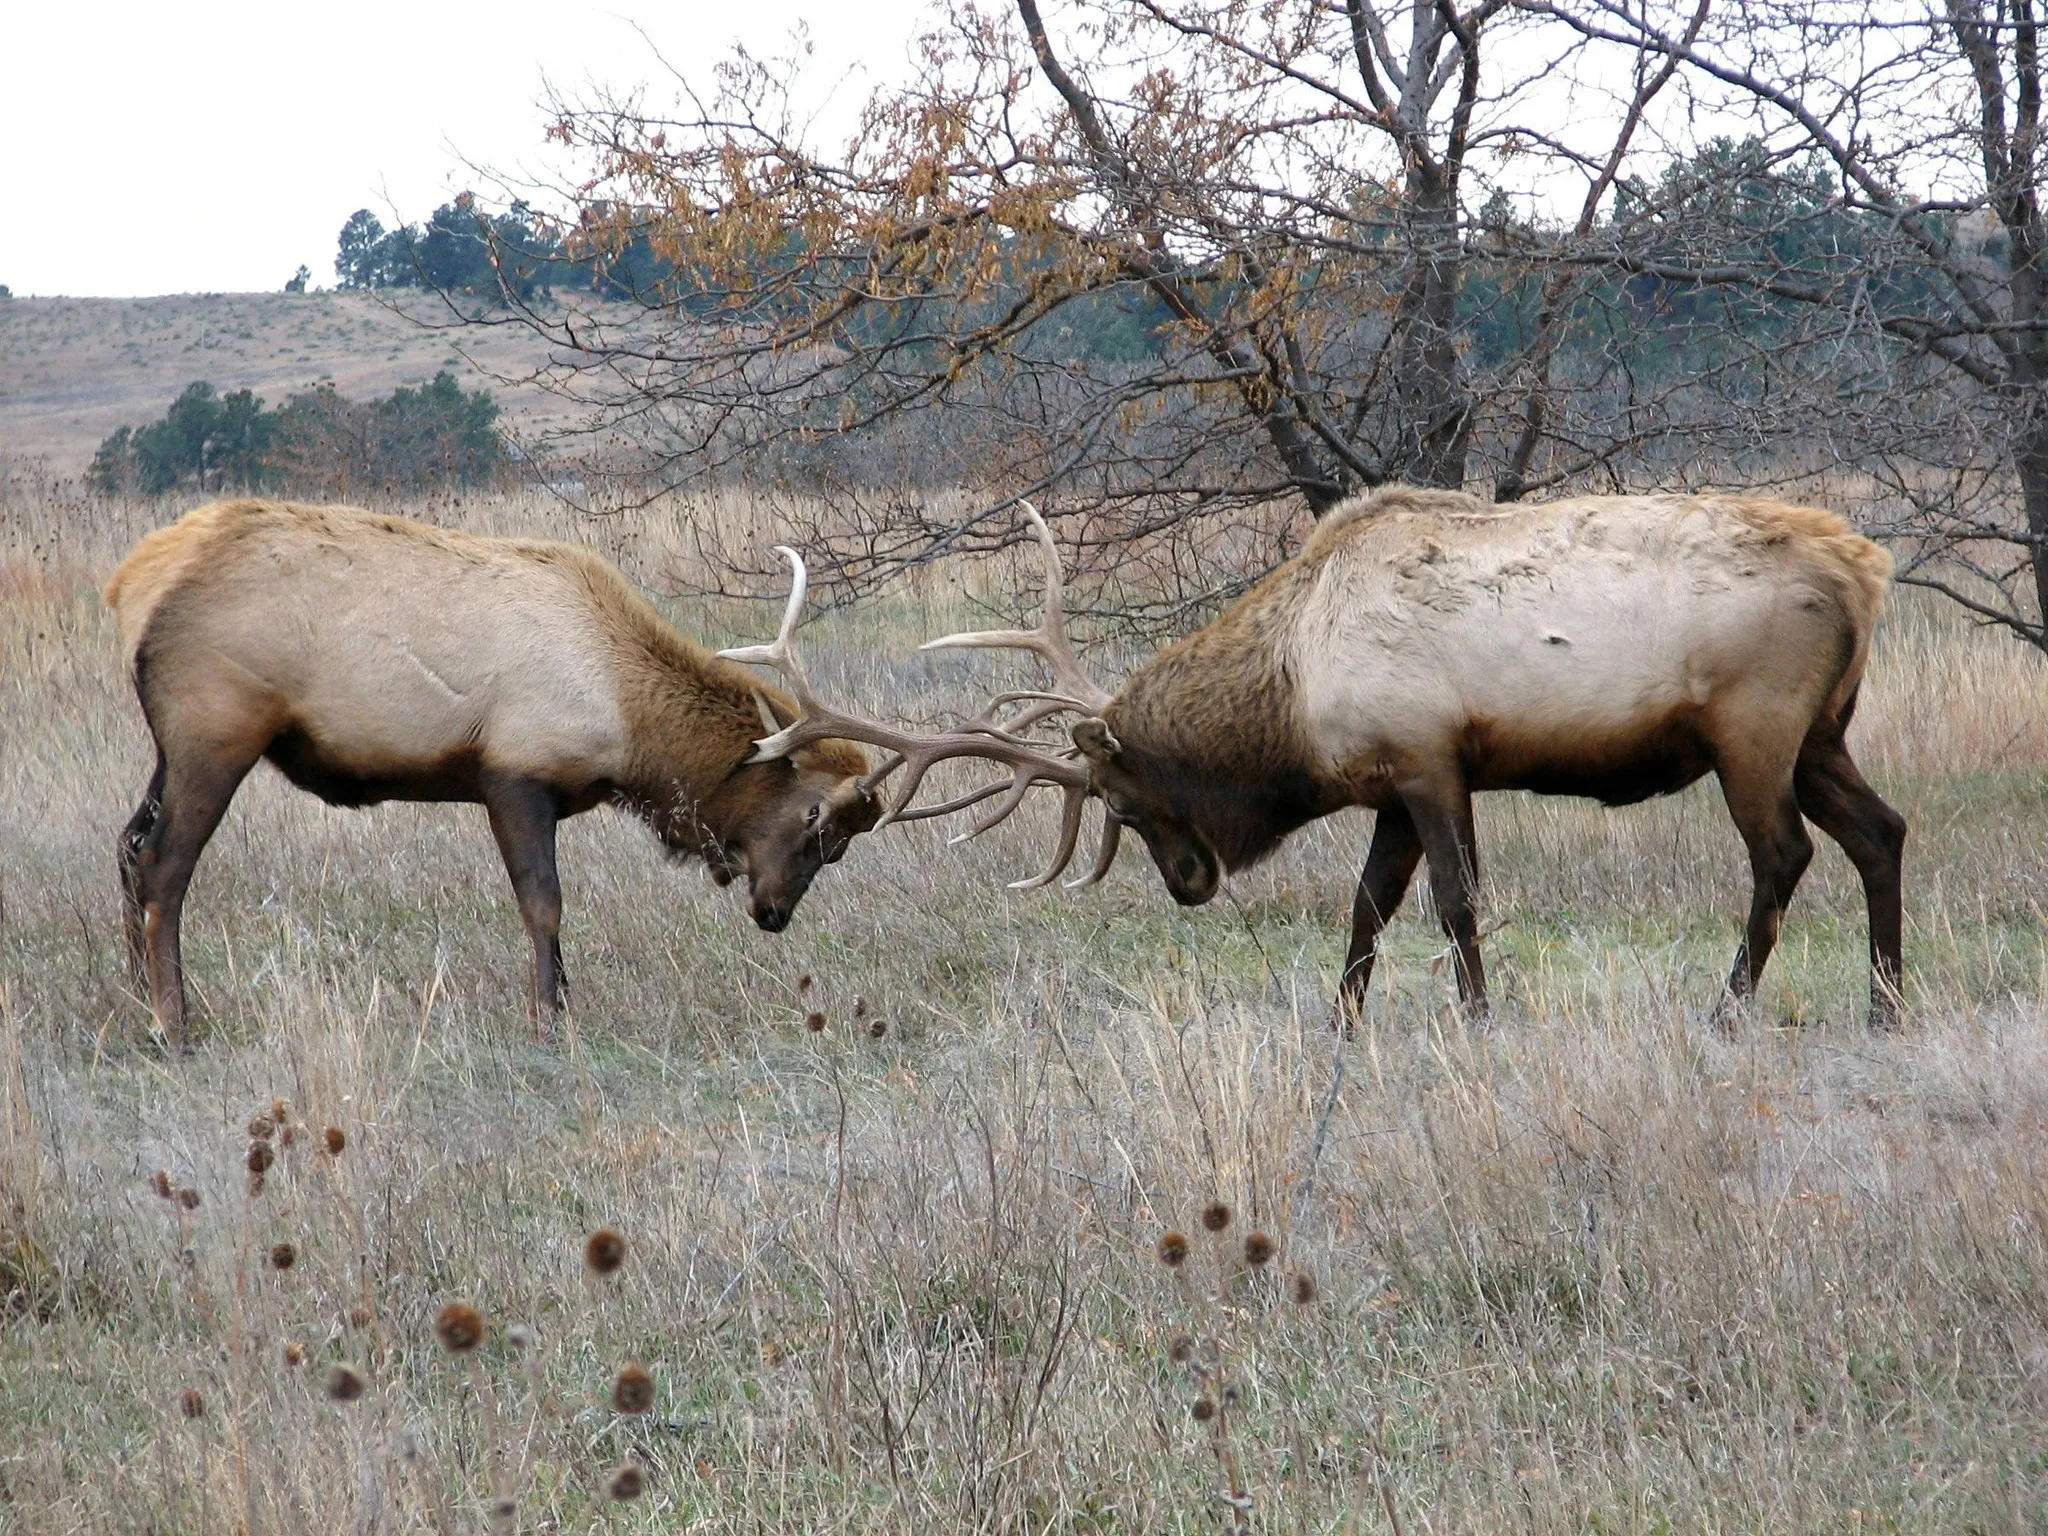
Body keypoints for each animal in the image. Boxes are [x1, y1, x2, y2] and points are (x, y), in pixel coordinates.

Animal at [104, 498, 883, 1047]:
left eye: (844, 842)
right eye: (816, 817)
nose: (774, 912)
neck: (625, 722)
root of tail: (129, 584)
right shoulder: (514, 774)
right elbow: (544, 905)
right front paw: (548, 1022)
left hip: (172, 749)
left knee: (128, 847)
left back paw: (137, 1002)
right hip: (215, 732)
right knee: (165, 865)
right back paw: (173, 1024)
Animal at [720, 485, 1907, 1031]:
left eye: (1122, 800)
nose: (1190, 885)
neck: (1294, 695)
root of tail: (1863, 571)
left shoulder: (1429, 756)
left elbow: (1456, 903)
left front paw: (1477, 1020)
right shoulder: (1388, 784)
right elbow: (1367, 907)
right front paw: (1343, 1021)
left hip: (1753, 728)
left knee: (1783, 856)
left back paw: (1727, 1008)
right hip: (1821, 734)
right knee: (1880, 832)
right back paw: (1885, 1003)